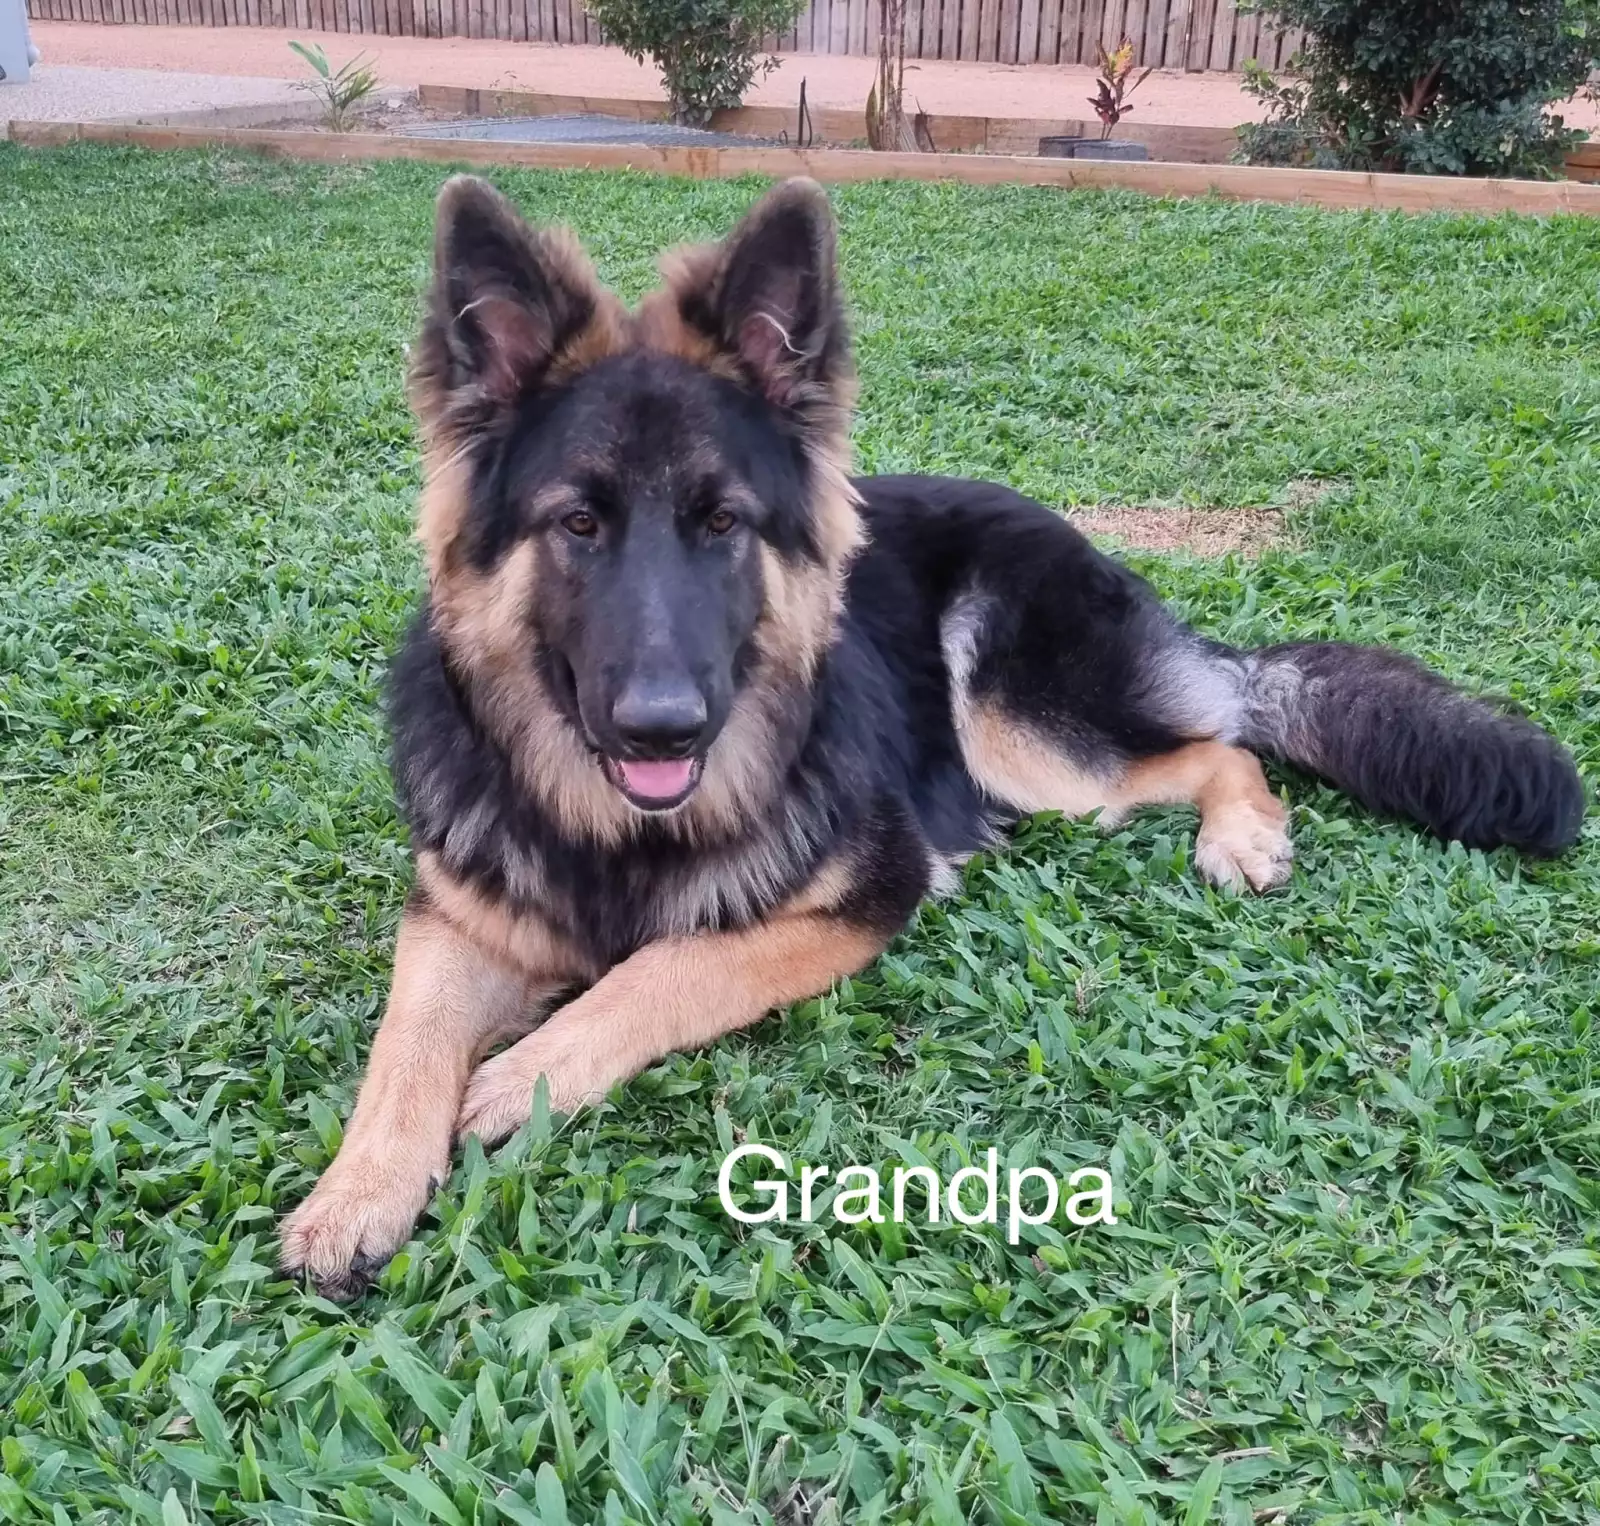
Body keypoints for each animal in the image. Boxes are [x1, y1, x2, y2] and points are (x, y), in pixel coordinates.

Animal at [280, 174, 1584, 1299]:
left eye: (721, 523)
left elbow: (670, 965)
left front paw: (524, 1074)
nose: (664, 720)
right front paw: (355, 1189)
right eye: (579, 523)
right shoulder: (453, 912)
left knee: (1221, 741)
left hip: (1021, 731)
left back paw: (1244, 837)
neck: (612, 826)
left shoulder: (864, 893)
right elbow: (403, 1039)